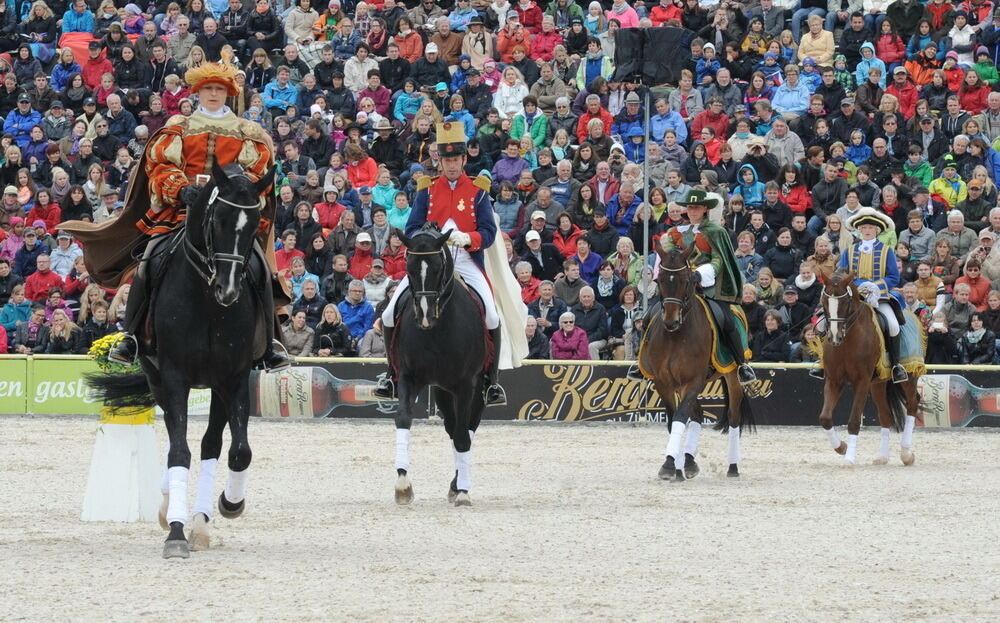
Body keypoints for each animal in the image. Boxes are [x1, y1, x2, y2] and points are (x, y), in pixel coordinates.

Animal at [85, 163, 274, 560]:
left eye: (254, 224)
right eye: (217, 219)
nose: (228, 290)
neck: (206, 302)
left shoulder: (233, 378)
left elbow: (239, 452)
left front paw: (229, 504)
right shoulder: (173, 377)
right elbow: (178, 451)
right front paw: (175, 531)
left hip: (216, 388)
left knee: (211, 446)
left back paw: (200, 521)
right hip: (157, 378)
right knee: (180, 441)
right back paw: (171, 507)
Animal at [390, 224, 488, 508]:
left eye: (437, 268)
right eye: (409, 268)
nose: (425, 317)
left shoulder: (466, 385)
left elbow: (463, 436)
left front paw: (464, 492)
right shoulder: (408, 377)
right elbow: (403, 418)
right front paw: (403, 483)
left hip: (476, 389)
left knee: (466, 429)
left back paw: (459, 485)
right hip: (443, 391)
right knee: (453, 427)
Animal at [640, 244, 752, 482]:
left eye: (687, 280)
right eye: (659, 280)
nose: (670, 321)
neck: (677, 336)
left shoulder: (693, 380)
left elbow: (681, 416)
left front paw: (670, 464)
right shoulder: (664, 382)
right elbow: (673, 419)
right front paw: (675, 466)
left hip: (732, 377)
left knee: (733, 418)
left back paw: (732, 466)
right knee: (698, 415)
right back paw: (689, 462)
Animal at [816, 270, 916, 466]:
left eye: (846, 302)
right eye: (824, 301)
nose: (835, 338)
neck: (847, 341)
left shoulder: (861, 381)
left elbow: (854, 421)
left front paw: (849, 459)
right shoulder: (834, 380)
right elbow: (825, 418)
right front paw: (842, 448)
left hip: (910, 376)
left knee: (912, 407)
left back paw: (906, 454)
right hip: (878, 384)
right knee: (885, 416)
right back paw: (882, 457)